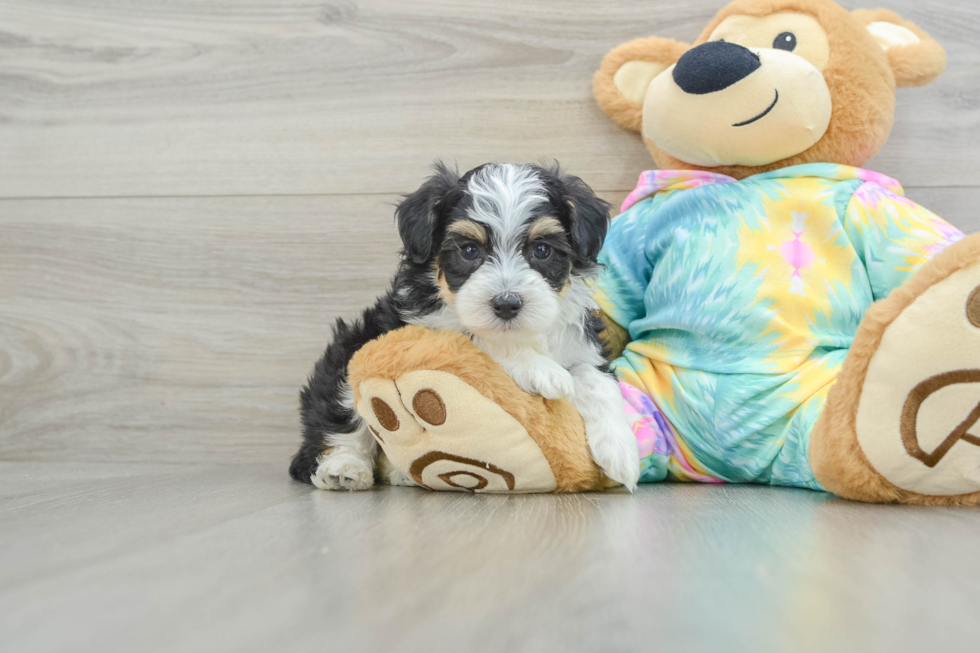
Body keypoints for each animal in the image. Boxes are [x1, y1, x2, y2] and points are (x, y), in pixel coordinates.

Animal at [290, 162, 644, 488]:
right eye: (469, 250)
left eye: (542, 250)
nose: (506, 304)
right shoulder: (422, 328)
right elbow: (476, 339)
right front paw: (543, 370)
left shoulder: (581, 343)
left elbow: (597, 380)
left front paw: (621, 450)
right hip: (349, 353)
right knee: (340, 425)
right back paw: (345, 470)